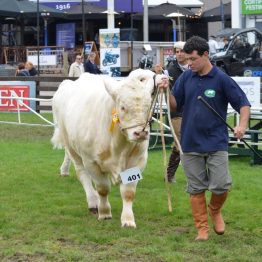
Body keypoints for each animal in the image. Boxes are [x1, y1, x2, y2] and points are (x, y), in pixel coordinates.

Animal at [51, 69, 166, 227]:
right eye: (123, 107)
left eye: (148, 106)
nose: (140, 133)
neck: (118, 145)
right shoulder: (91, 162)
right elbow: (103, 189)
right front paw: (104, 212)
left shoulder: (137, 162)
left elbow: (128, 192)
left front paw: (128, 220)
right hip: (71, 146)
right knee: (82, 174)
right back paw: (93, 202)